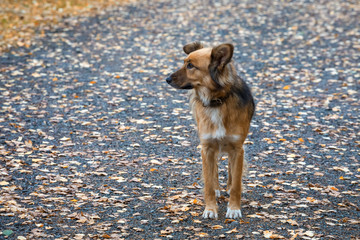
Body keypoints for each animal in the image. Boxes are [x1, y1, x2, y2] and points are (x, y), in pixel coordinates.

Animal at [167, 42, 255, 218]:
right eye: (184, 62)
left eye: (190, 66)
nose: (167, 79)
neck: (217, 101)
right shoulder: (206, 147)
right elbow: (208, 182)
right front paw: (210, 208)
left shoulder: (238, 148)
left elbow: (236, 182)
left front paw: (234, 208)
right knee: (213, 168)